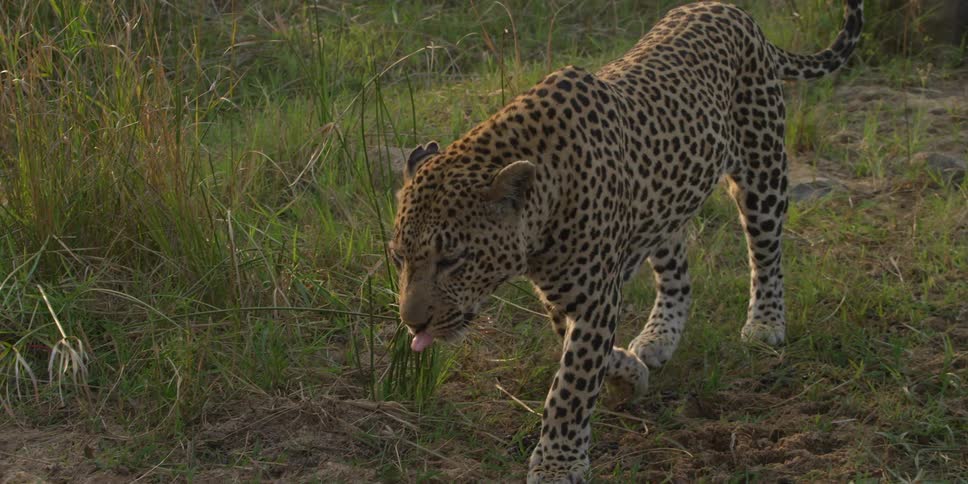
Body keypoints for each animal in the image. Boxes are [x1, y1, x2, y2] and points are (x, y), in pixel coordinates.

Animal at [388, 1, 863, 482]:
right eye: (398, 258)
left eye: (452, 259)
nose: (413, 324)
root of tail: (729, 10)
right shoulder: (565, 296)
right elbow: (589, 356)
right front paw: (630, 375)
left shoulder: (593, 296)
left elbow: (572, 384)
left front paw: (559, 462)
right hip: (664, 205)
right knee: (677, 276)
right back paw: (658, 338)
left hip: (762, 171)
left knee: (766, 254)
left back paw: (765, 323)